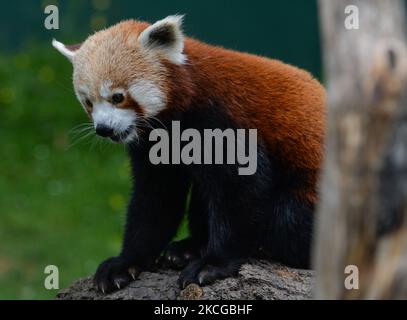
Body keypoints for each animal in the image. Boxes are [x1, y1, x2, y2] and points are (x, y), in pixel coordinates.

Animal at [53, 15, 326, 296]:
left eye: (118, 97)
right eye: (88, 102)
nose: (104, 129)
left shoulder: (222, 119)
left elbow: (241, 189)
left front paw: (214, 263)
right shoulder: (153, 148)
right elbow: (155, 199)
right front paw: (126, 262)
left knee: (288, 219)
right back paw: (189, 247)